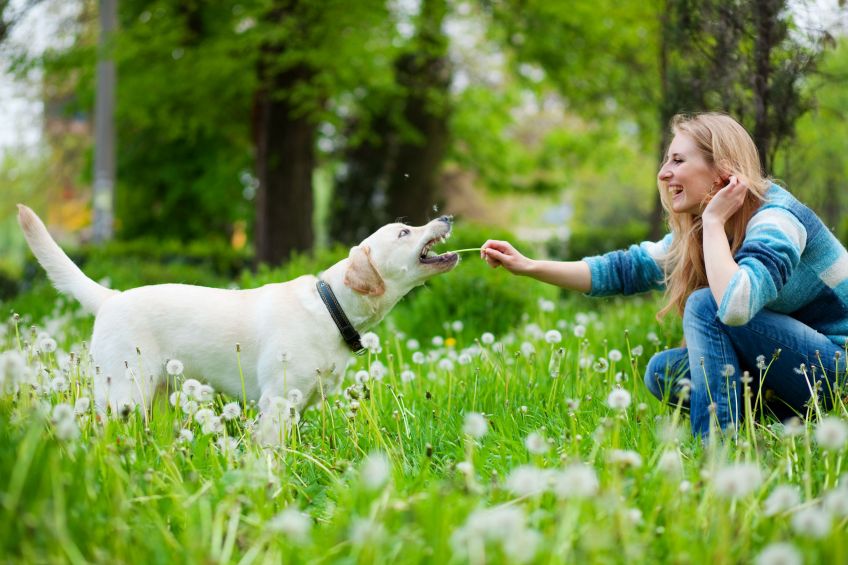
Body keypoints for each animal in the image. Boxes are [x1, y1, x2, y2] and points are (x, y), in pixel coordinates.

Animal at [16, 205, 460, 416]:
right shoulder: (277, 402)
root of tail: (110, 297)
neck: (330, 307)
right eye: (404, 232)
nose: (446, 216)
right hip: (124, 391)